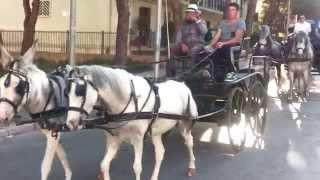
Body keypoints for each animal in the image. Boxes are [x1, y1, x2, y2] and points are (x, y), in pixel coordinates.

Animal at [0, 42, 72, 180]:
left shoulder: (54, 133)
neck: (46, 96)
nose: (1, 116)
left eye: (20, 87)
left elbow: (45, 166)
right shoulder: (51, 132)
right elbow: (62, 155)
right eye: (0, 84)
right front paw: (69, 174)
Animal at [66, 65, 199, 180]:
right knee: (160, 152)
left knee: (189, 142)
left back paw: (192, 167)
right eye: (67, 92)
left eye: (79, 90)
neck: (128, 101)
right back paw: (154, 177)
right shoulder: (115, 138)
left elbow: (137, 168)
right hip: (156, 132)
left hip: (184, 124)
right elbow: (104, 164)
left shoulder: (138, 139)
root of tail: (183, 85)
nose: (71, 123)